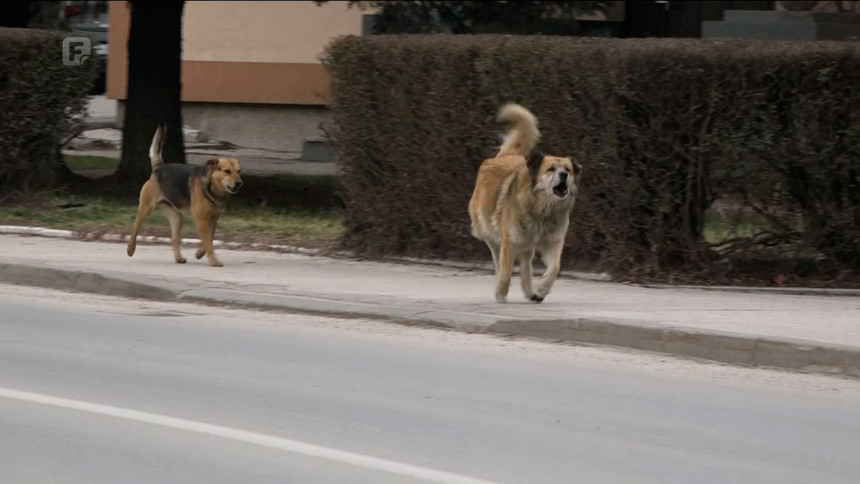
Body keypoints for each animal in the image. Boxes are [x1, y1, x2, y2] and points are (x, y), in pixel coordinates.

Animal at [124, 125, 240, 266]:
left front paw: (199, 253)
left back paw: (179, 257)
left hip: (176, 217)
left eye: (239, 171)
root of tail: (159, 167)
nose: (239, 183)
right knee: (135, 227)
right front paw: (214, 261)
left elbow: (209, 240)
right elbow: (208, 242)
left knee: (174, 239)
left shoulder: (213, 219)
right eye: (227, 171)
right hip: (145, 208)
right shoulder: (201, 220)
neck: (211, 186)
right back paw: (130, 248)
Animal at [470, 104, 584, 304]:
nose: (564, 175)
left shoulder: (553, 241)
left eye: (567, 169)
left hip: (527, 246)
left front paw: (542, 289)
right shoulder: (509, 242)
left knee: (525, 268)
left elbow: (555, 267)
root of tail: (505, 156)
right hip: (492, 234)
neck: (542, 210)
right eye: (551, 169)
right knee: (500, 264)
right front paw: (501, 294)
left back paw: (531, 292)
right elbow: (506, 272)